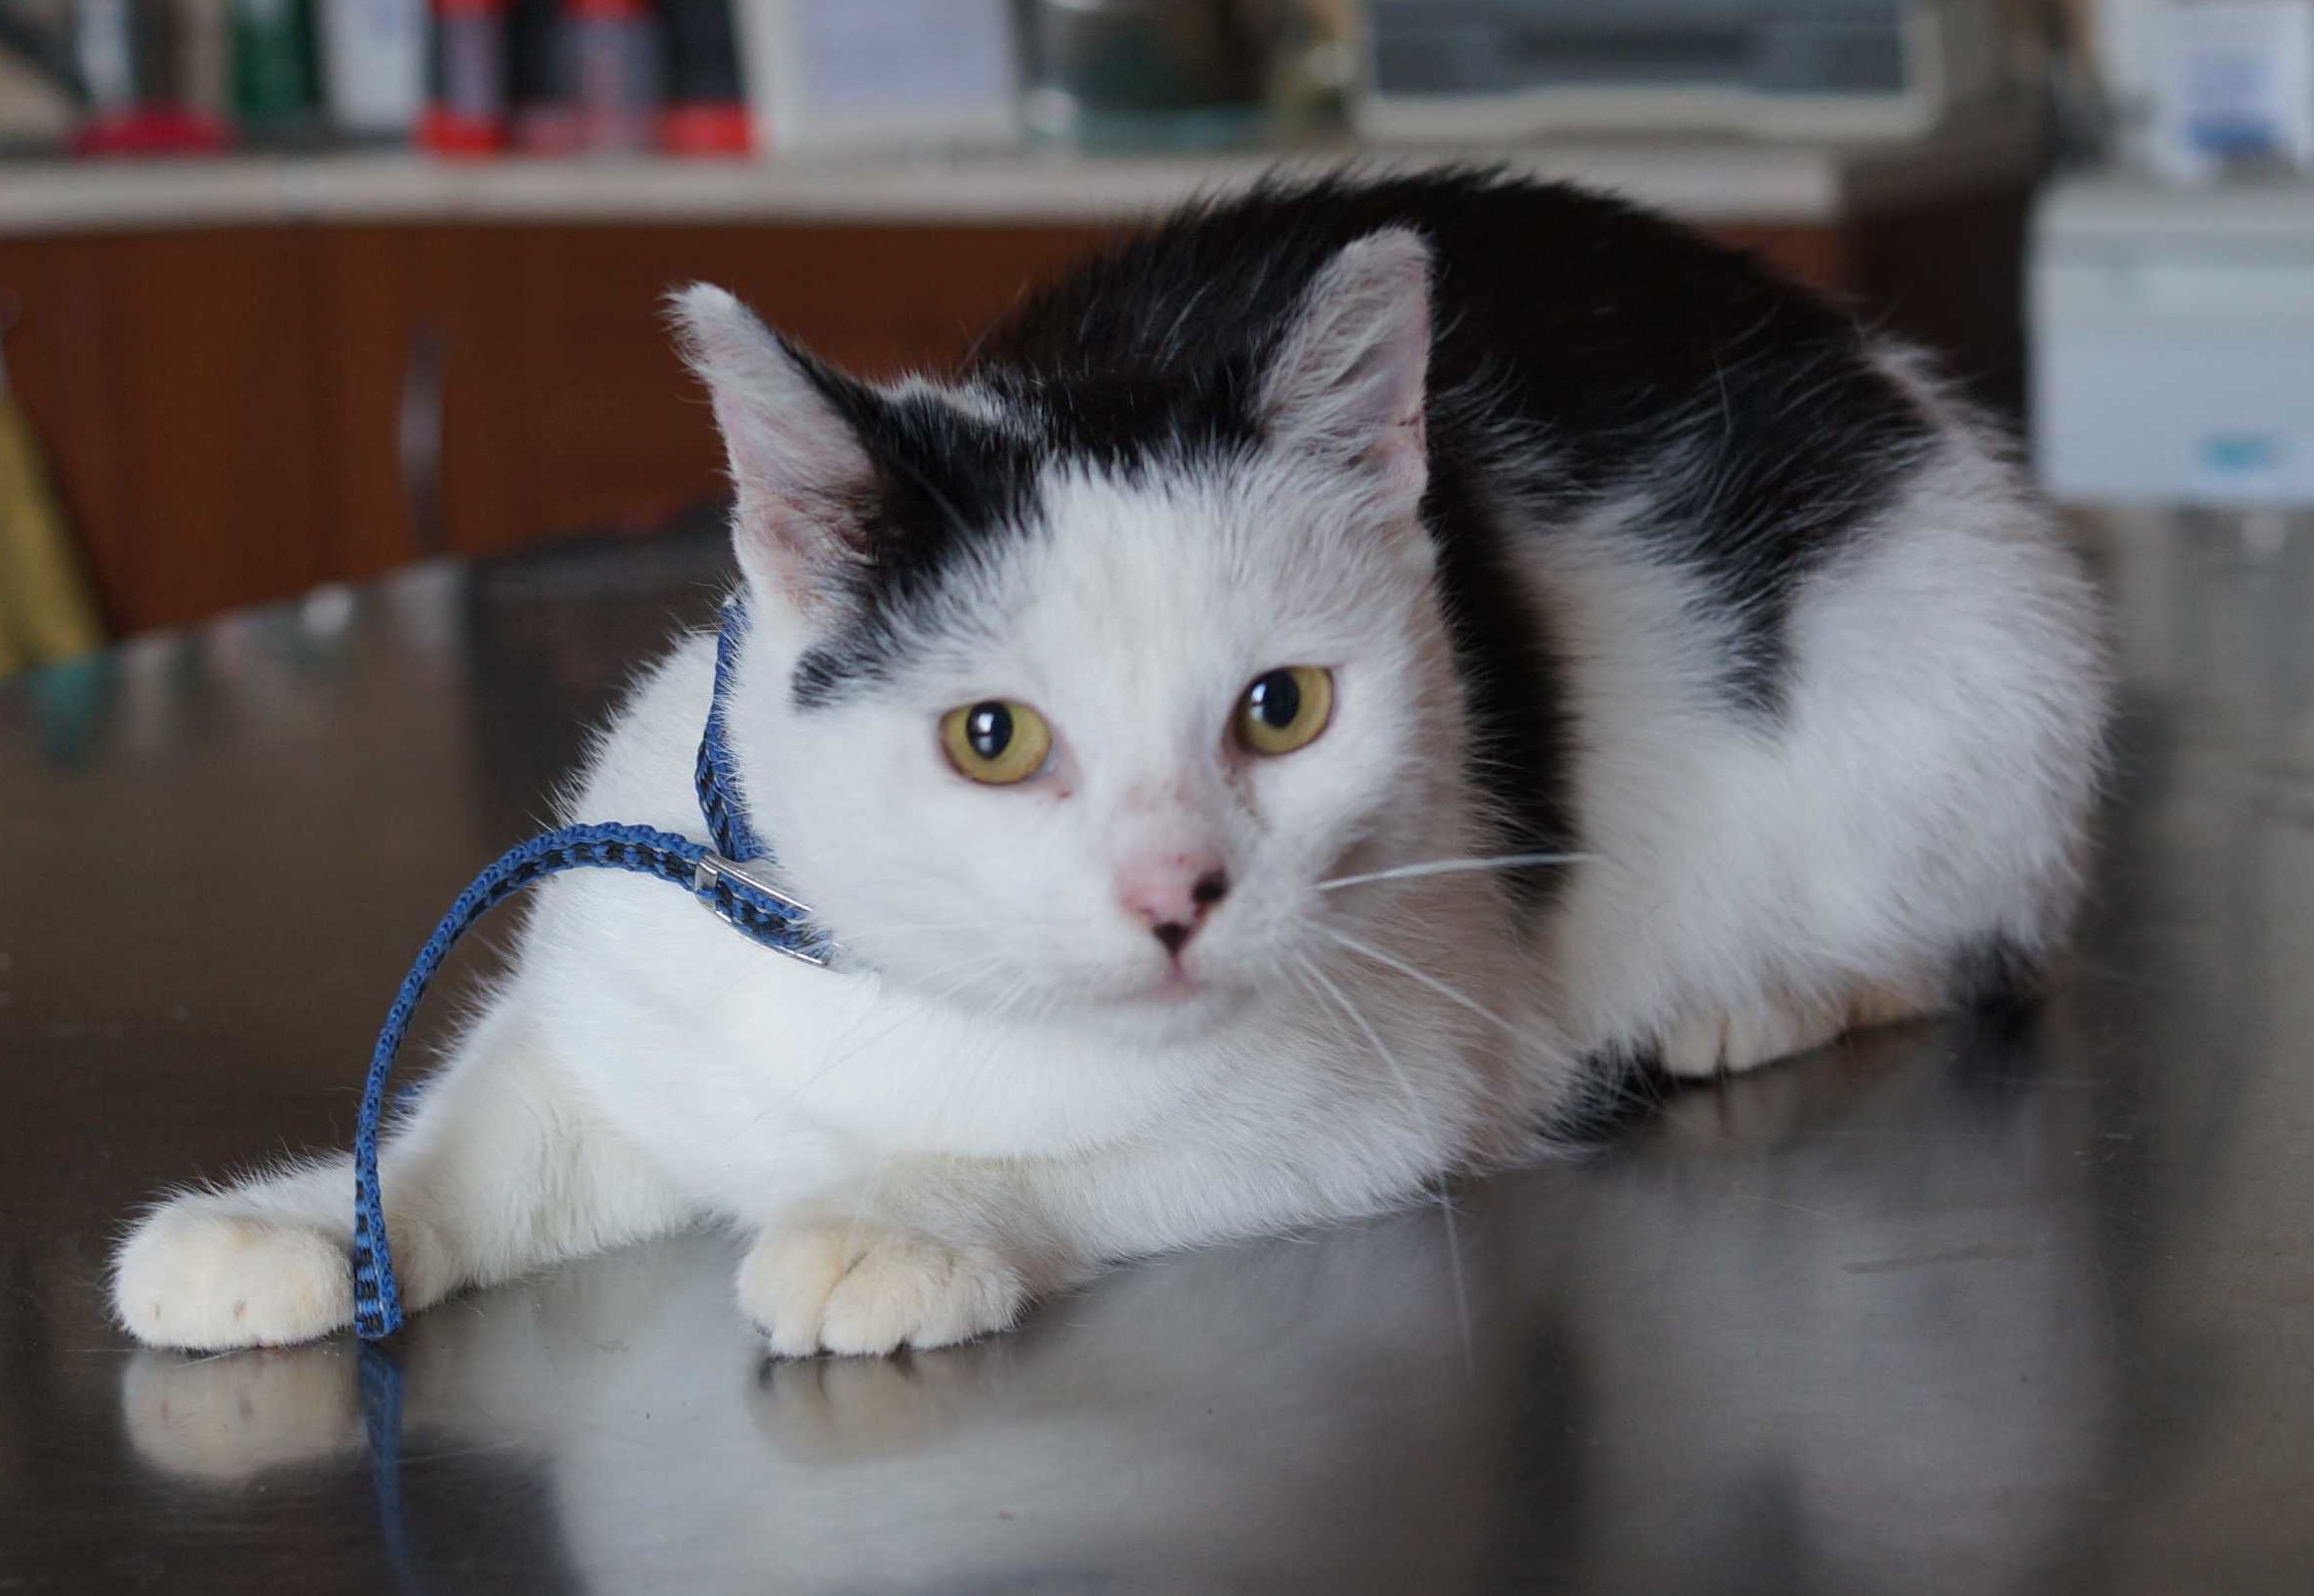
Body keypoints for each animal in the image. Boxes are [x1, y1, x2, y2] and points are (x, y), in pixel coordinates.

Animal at [111, 170, 2110, 1357]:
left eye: (1281, 708)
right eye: (989, 738)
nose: (1175, 894)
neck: (907, 987)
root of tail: (1886, 377)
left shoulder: (1385, 1075)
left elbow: (1106, 1149)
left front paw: (895, 1216)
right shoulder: (625, 981)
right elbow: (479, 1131)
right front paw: (291, 1221)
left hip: (1961, 692)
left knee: (1962, 932)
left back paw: (1754, 995)